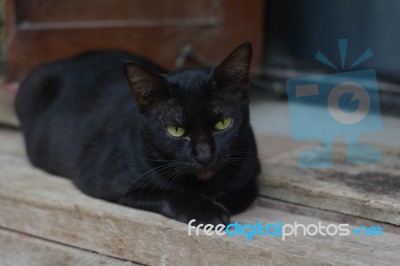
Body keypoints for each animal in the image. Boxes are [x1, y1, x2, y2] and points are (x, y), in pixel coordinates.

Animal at [15, 42, 260, 225]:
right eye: (176, 130)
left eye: (223, 124)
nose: (205, 156)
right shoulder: (107, 182)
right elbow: (167, 192)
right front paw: (207, 211)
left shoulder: (251, 173)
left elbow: (243, 194)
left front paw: (218, 200)